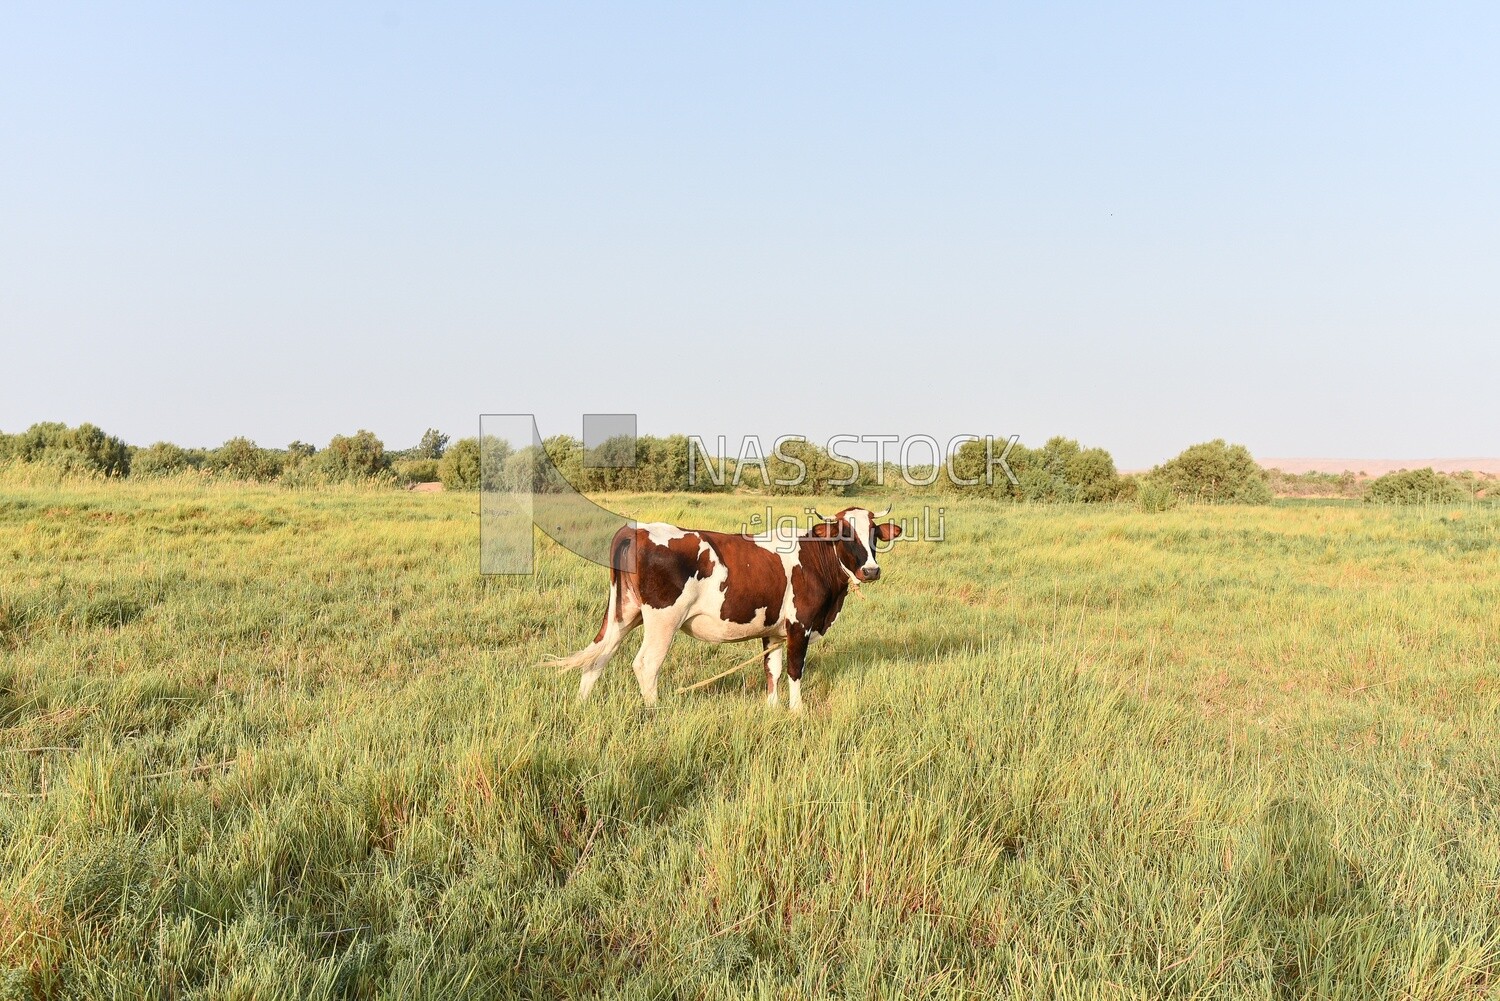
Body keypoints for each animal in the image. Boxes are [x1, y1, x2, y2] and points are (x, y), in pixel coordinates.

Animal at [552, 510, 900, 711]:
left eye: (874, 534)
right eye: (845, 533)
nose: (871, 570)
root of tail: (638, 529)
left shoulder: (773, 631)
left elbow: (771, 670)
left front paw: (771, 710)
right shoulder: (799, 626)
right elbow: (794, 670)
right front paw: (796, 712)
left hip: (623, 612)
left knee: (599, 656)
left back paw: (581, 706)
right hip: (663, 619)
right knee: (646, 665)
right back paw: (654, 712)